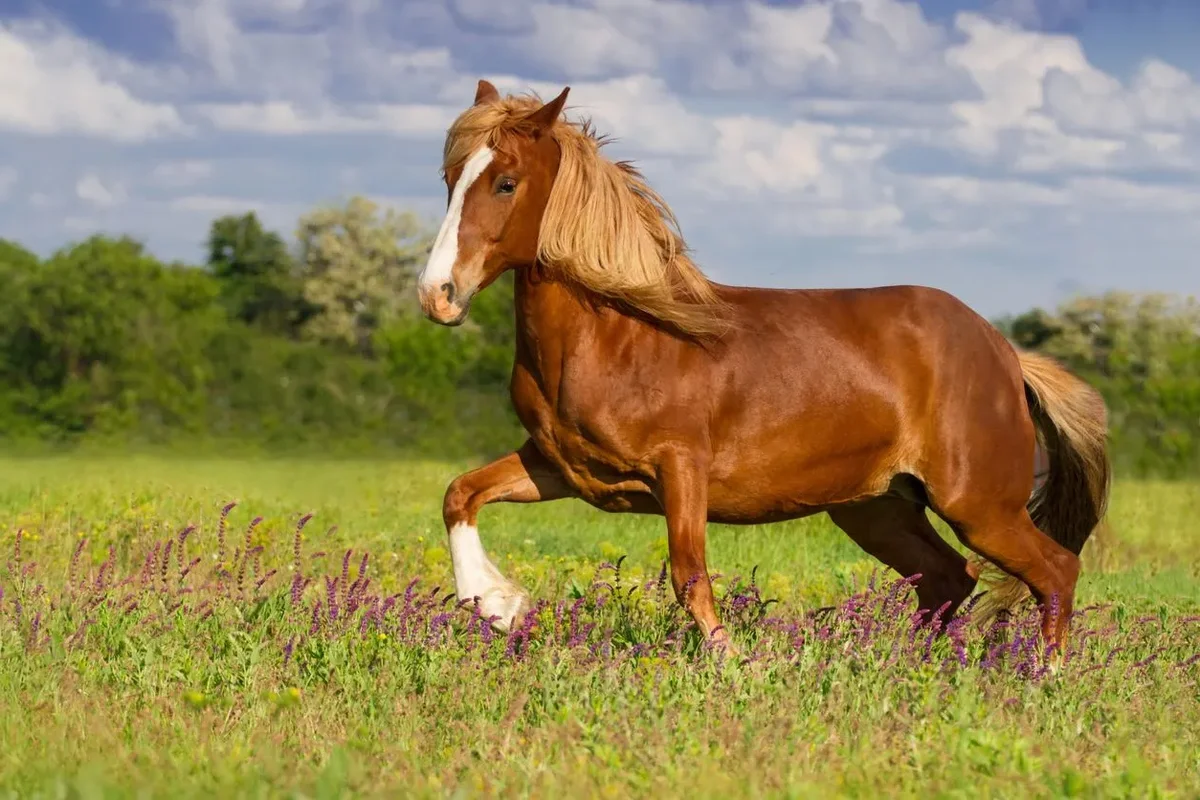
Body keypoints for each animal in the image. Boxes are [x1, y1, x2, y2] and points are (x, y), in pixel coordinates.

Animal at [415, 79, 1111, 657]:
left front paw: (731, 663)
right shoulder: (564, 468)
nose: (438, 295)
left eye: (505, 182)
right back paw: (904, 665)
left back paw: (1041, 676)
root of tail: (1005, 353)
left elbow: (689, 575)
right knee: (949, 577)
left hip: (978, 506)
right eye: (449, 178)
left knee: (1054, 570)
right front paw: (498, 605)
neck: (624, 336)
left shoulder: (680, 470)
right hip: (877, 507)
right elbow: (460, 492)